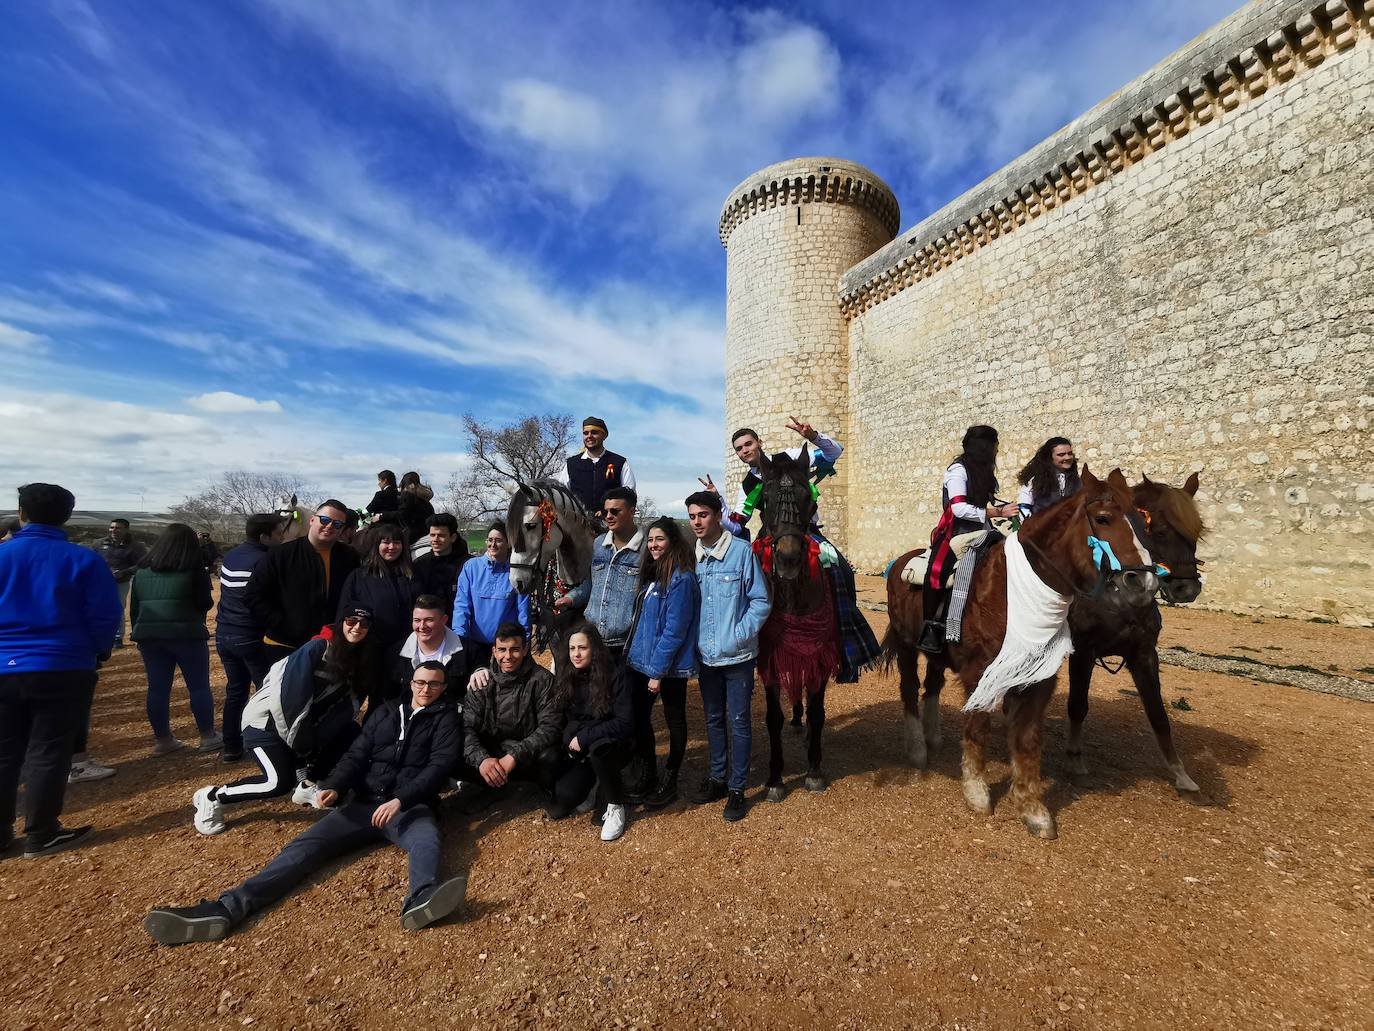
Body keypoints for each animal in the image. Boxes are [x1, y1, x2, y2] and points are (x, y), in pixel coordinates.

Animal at [879, 467, 1159, 841]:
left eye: (1142, 522)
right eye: (1103, 518)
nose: (1143, 584)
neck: (1009, 592)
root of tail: (900, 563)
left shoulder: (1039, 678)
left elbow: (1027, 739)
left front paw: (1032, 808)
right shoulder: (979, 673)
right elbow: (978, 727)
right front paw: (977, 792)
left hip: (936, 653)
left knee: (932, 687)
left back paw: (933, 736)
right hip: (908, 646)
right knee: (910, 690)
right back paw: (917, 749)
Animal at [1060, 472, 1203, 797]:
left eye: (1197, 533)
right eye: (1159, 531)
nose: (1187, 589)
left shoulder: (1144, 654)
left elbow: (1158, 714)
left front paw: (1180, 773)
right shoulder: (1082, 651)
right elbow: (1078, 705)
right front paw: (1074, 758)